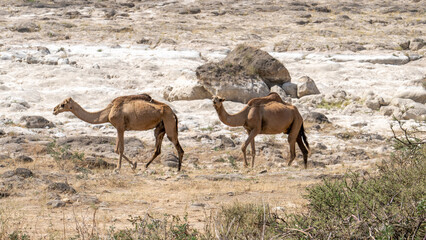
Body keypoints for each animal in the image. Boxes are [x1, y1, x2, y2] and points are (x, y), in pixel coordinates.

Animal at [52, 93, 184, 171]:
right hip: (160, 128)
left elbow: (120, 149)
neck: (108, 112)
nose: (54, 110)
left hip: (169, 124)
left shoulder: (120, 127)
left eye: (63, 104)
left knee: (178, 147)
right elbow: (116, 149)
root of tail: (173, 113)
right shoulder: (118, 128)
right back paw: (146, 165)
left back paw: (178, 170)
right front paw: (134, 164)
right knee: (158, 149)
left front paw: (118, 168)